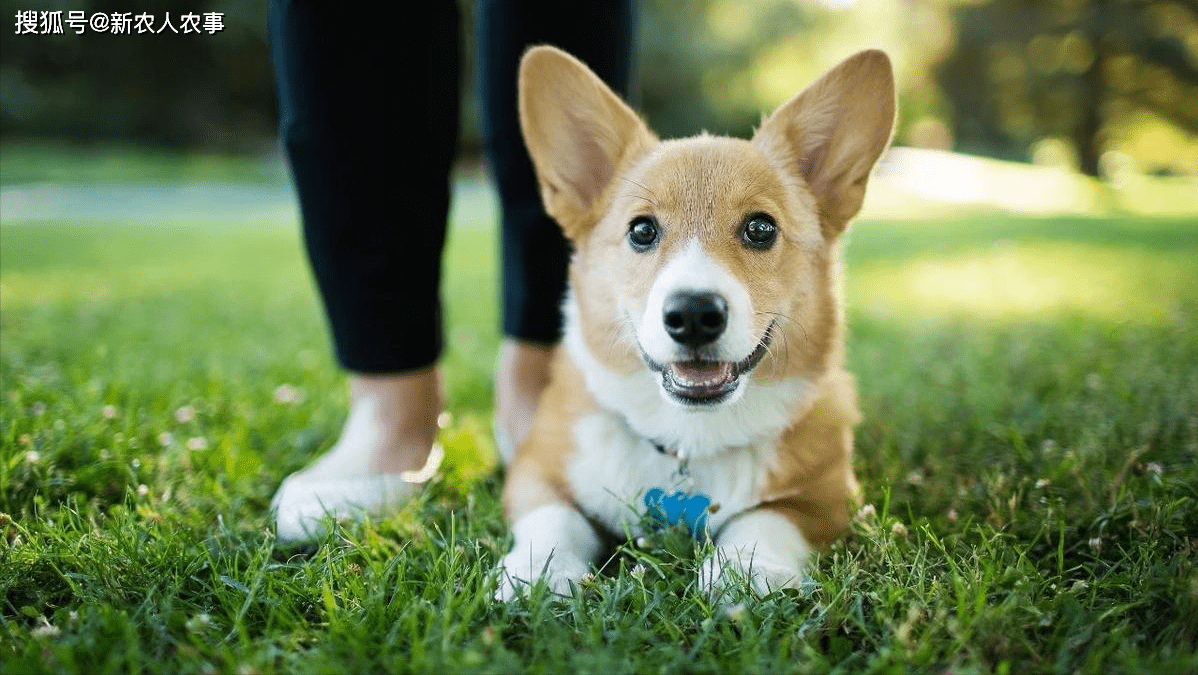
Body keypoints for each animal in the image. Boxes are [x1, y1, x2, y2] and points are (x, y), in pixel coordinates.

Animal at [498, 44, 900, 599]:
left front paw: (745, 573)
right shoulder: (535, 470)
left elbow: (765, 519)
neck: (689, 439)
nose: (692, 315)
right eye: (642, 230)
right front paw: (540, 571)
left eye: (760, 228)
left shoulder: (826, 497)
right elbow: (554, 516)